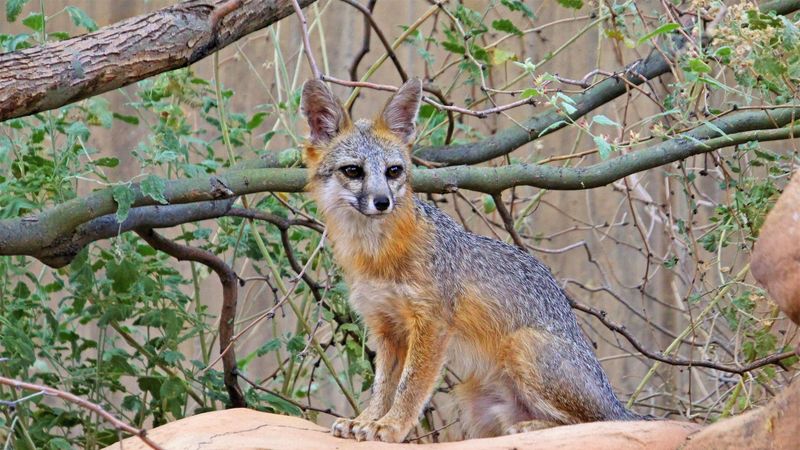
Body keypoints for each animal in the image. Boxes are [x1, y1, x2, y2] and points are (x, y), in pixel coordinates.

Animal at [300, 78, 643, 443]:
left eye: (393, 171)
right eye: (353, 171)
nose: (382, 201)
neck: (377, 255)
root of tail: (617, 402)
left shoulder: (432, 325)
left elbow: (409, 387)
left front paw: (390, 426)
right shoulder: (385, 327)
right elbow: (383, 386)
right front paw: (366, 420)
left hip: (522, 345)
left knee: (594, 422)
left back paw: (532, 426)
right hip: (473, 398)